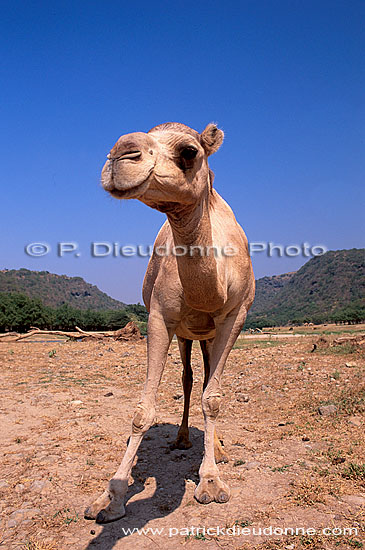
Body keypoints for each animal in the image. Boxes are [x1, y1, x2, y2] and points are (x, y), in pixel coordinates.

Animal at [84, 123, 256, 524]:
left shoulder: (234, 317)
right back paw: (182, 438)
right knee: (190, 378)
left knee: (206, 382)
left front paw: (211, 483)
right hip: (186, 334)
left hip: (210, 334)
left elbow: (214, 398)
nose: (120, 155)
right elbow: (142, 410)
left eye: (189, 152)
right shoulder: (160, 317)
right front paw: (110, 499)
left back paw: (217, 449)